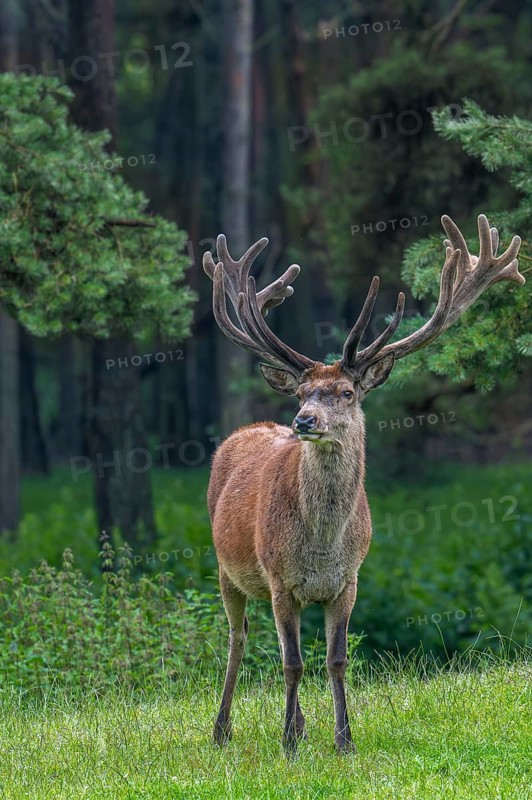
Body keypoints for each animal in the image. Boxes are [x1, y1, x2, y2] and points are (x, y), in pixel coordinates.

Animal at [202, 214, 523, 755]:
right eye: (303, 392)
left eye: (346, 392)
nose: (304, 420)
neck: (321, 544)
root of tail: (246, 430)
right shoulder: (280, 579)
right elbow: (293, 663)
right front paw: (289, 744)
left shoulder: (348, 580)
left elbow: (335, 659)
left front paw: (342, 740)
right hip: (229, 567)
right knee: (238, 636)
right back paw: (222, 729)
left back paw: (296, 724)